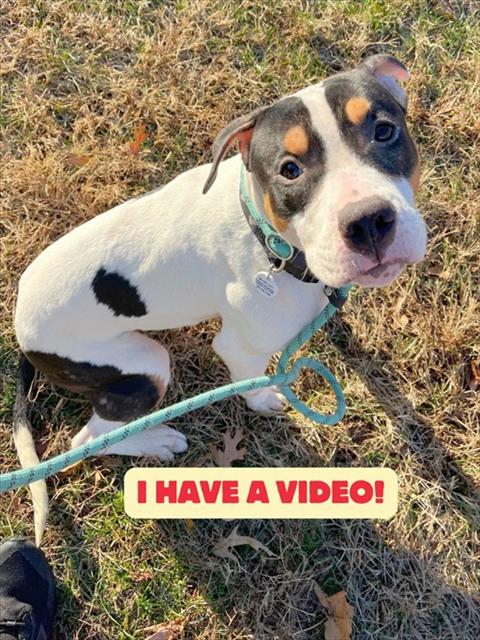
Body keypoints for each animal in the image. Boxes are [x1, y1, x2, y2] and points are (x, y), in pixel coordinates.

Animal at [12, 55, 427, 544]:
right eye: (289, 169)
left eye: (384, 131)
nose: (367, 222)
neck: (269, 238)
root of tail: (20, 330)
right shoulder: (240, 348)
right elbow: (254, 380)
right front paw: (264, 399)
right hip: (144, 366)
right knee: (89, 439)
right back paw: (157, 440)